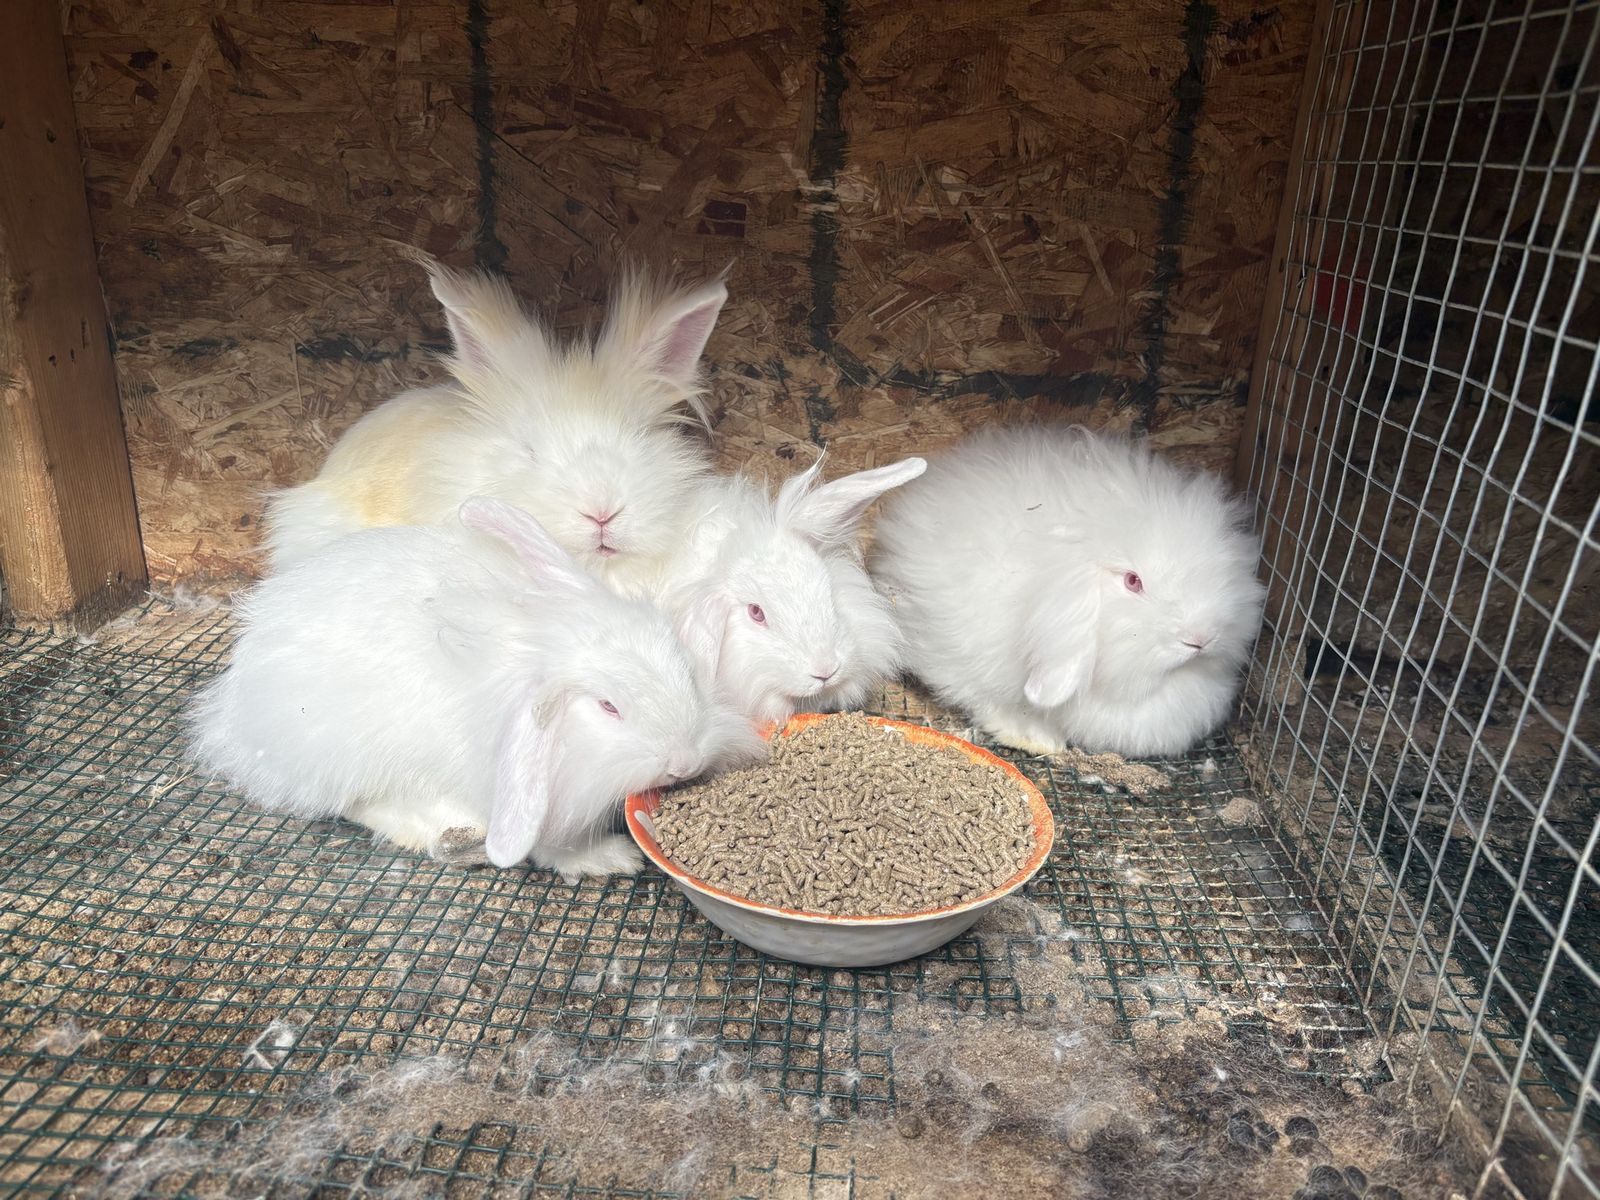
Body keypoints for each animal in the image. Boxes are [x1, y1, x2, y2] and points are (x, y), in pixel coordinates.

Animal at [190, 497, 765, 879]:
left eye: (687, 671)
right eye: (608, 708)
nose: (684, 763)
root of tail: (231, 707)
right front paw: (608, 859)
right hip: (342, 753)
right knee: (361, 805)